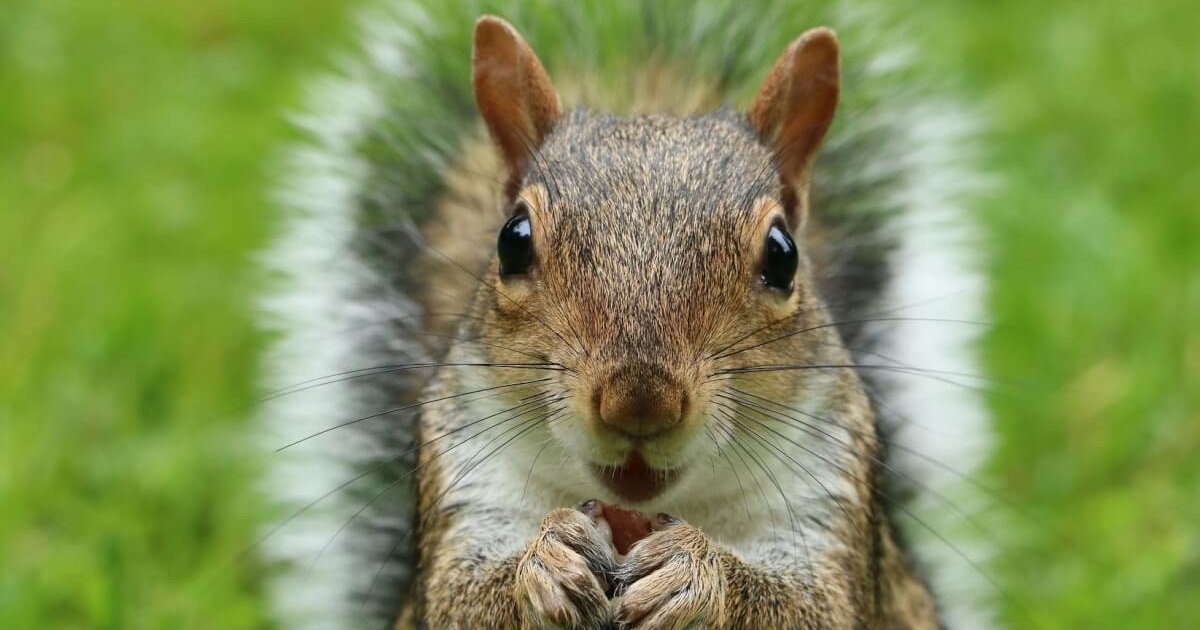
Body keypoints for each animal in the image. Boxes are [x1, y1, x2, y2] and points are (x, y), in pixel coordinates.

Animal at [261, 3, 991, 629]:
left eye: (783, 256)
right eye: (512, 240)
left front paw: (696, 573)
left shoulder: (828, 505)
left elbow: (812, 608)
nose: (640, 403)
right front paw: (544, 562)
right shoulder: (465, 486)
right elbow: (460, 600)